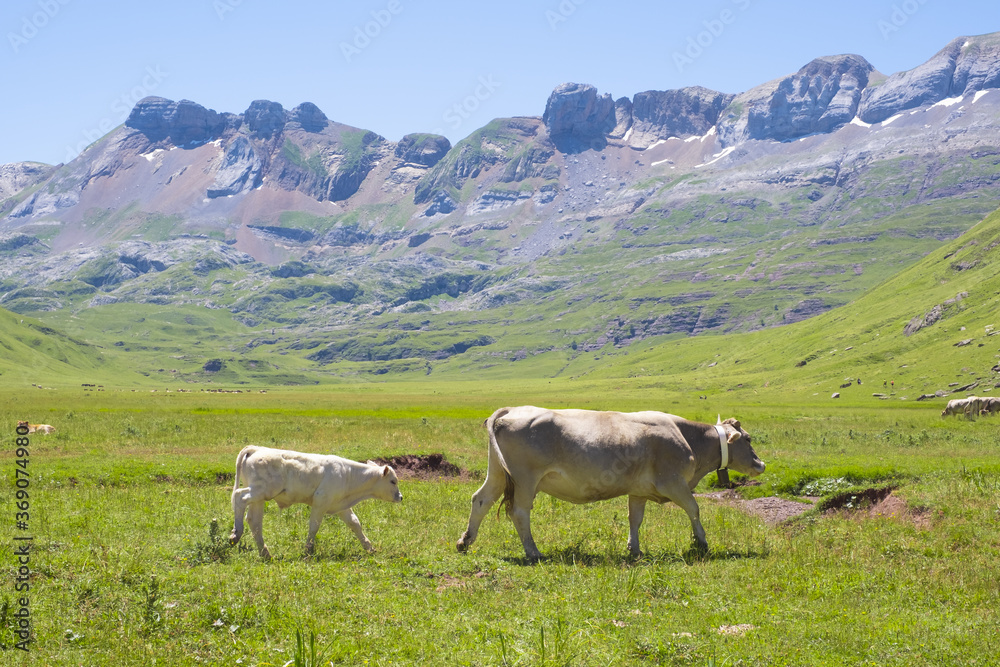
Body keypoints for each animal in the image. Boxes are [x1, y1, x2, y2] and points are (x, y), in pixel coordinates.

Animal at [230, 446, 402, 560]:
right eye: (393, 481)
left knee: (254, 520)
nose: (400, 497)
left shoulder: (341, 506)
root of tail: (256, 449)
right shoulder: (320, 503)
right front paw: (308, 550)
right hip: (260, 491)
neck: (348, 474)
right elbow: (314, 526)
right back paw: (236, 533)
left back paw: (265, 552)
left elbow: (355, 524)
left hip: (259, 498)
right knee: (239, 497)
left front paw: (369, 547)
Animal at [458, 408, 764, 560]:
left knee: (480, 499)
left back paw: (465, 541)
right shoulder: (674, 482)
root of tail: (511, 410)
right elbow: (694, 509)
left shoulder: (639, 490)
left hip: (498, 473)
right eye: (749, 438)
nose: (761, 464)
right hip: (524, 479)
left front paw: (634, 549)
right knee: (519, 512)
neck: (688, 438)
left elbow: (635, 519)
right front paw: (701, 542)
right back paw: (533, 552)